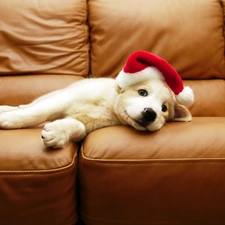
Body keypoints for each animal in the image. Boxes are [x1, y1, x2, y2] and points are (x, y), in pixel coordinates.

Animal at [0, 78, 192, 149]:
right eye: (142, 92)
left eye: (164, 108)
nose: (150, 113)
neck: (107, 105)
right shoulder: (64, 99)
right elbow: (36, 113)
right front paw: (9, 119)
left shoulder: (88, 125)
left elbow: (78, 126)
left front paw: (58, 132)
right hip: (52, 95)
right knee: (28, 106)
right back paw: (7, 109)